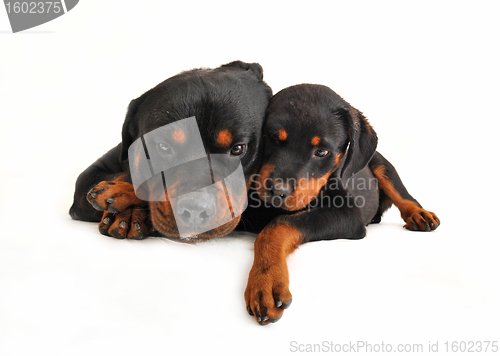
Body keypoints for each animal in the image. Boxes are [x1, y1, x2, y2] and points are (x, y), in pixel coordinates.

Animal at [244, 84, 440, 326]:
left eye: (321, 151)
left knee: (403, 194)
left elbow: (279, 225)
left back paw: (420, 215)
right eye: (273, 137)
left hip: (382, 164)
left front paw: (266, 282)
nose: (278, 191)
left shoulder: (347, 215)